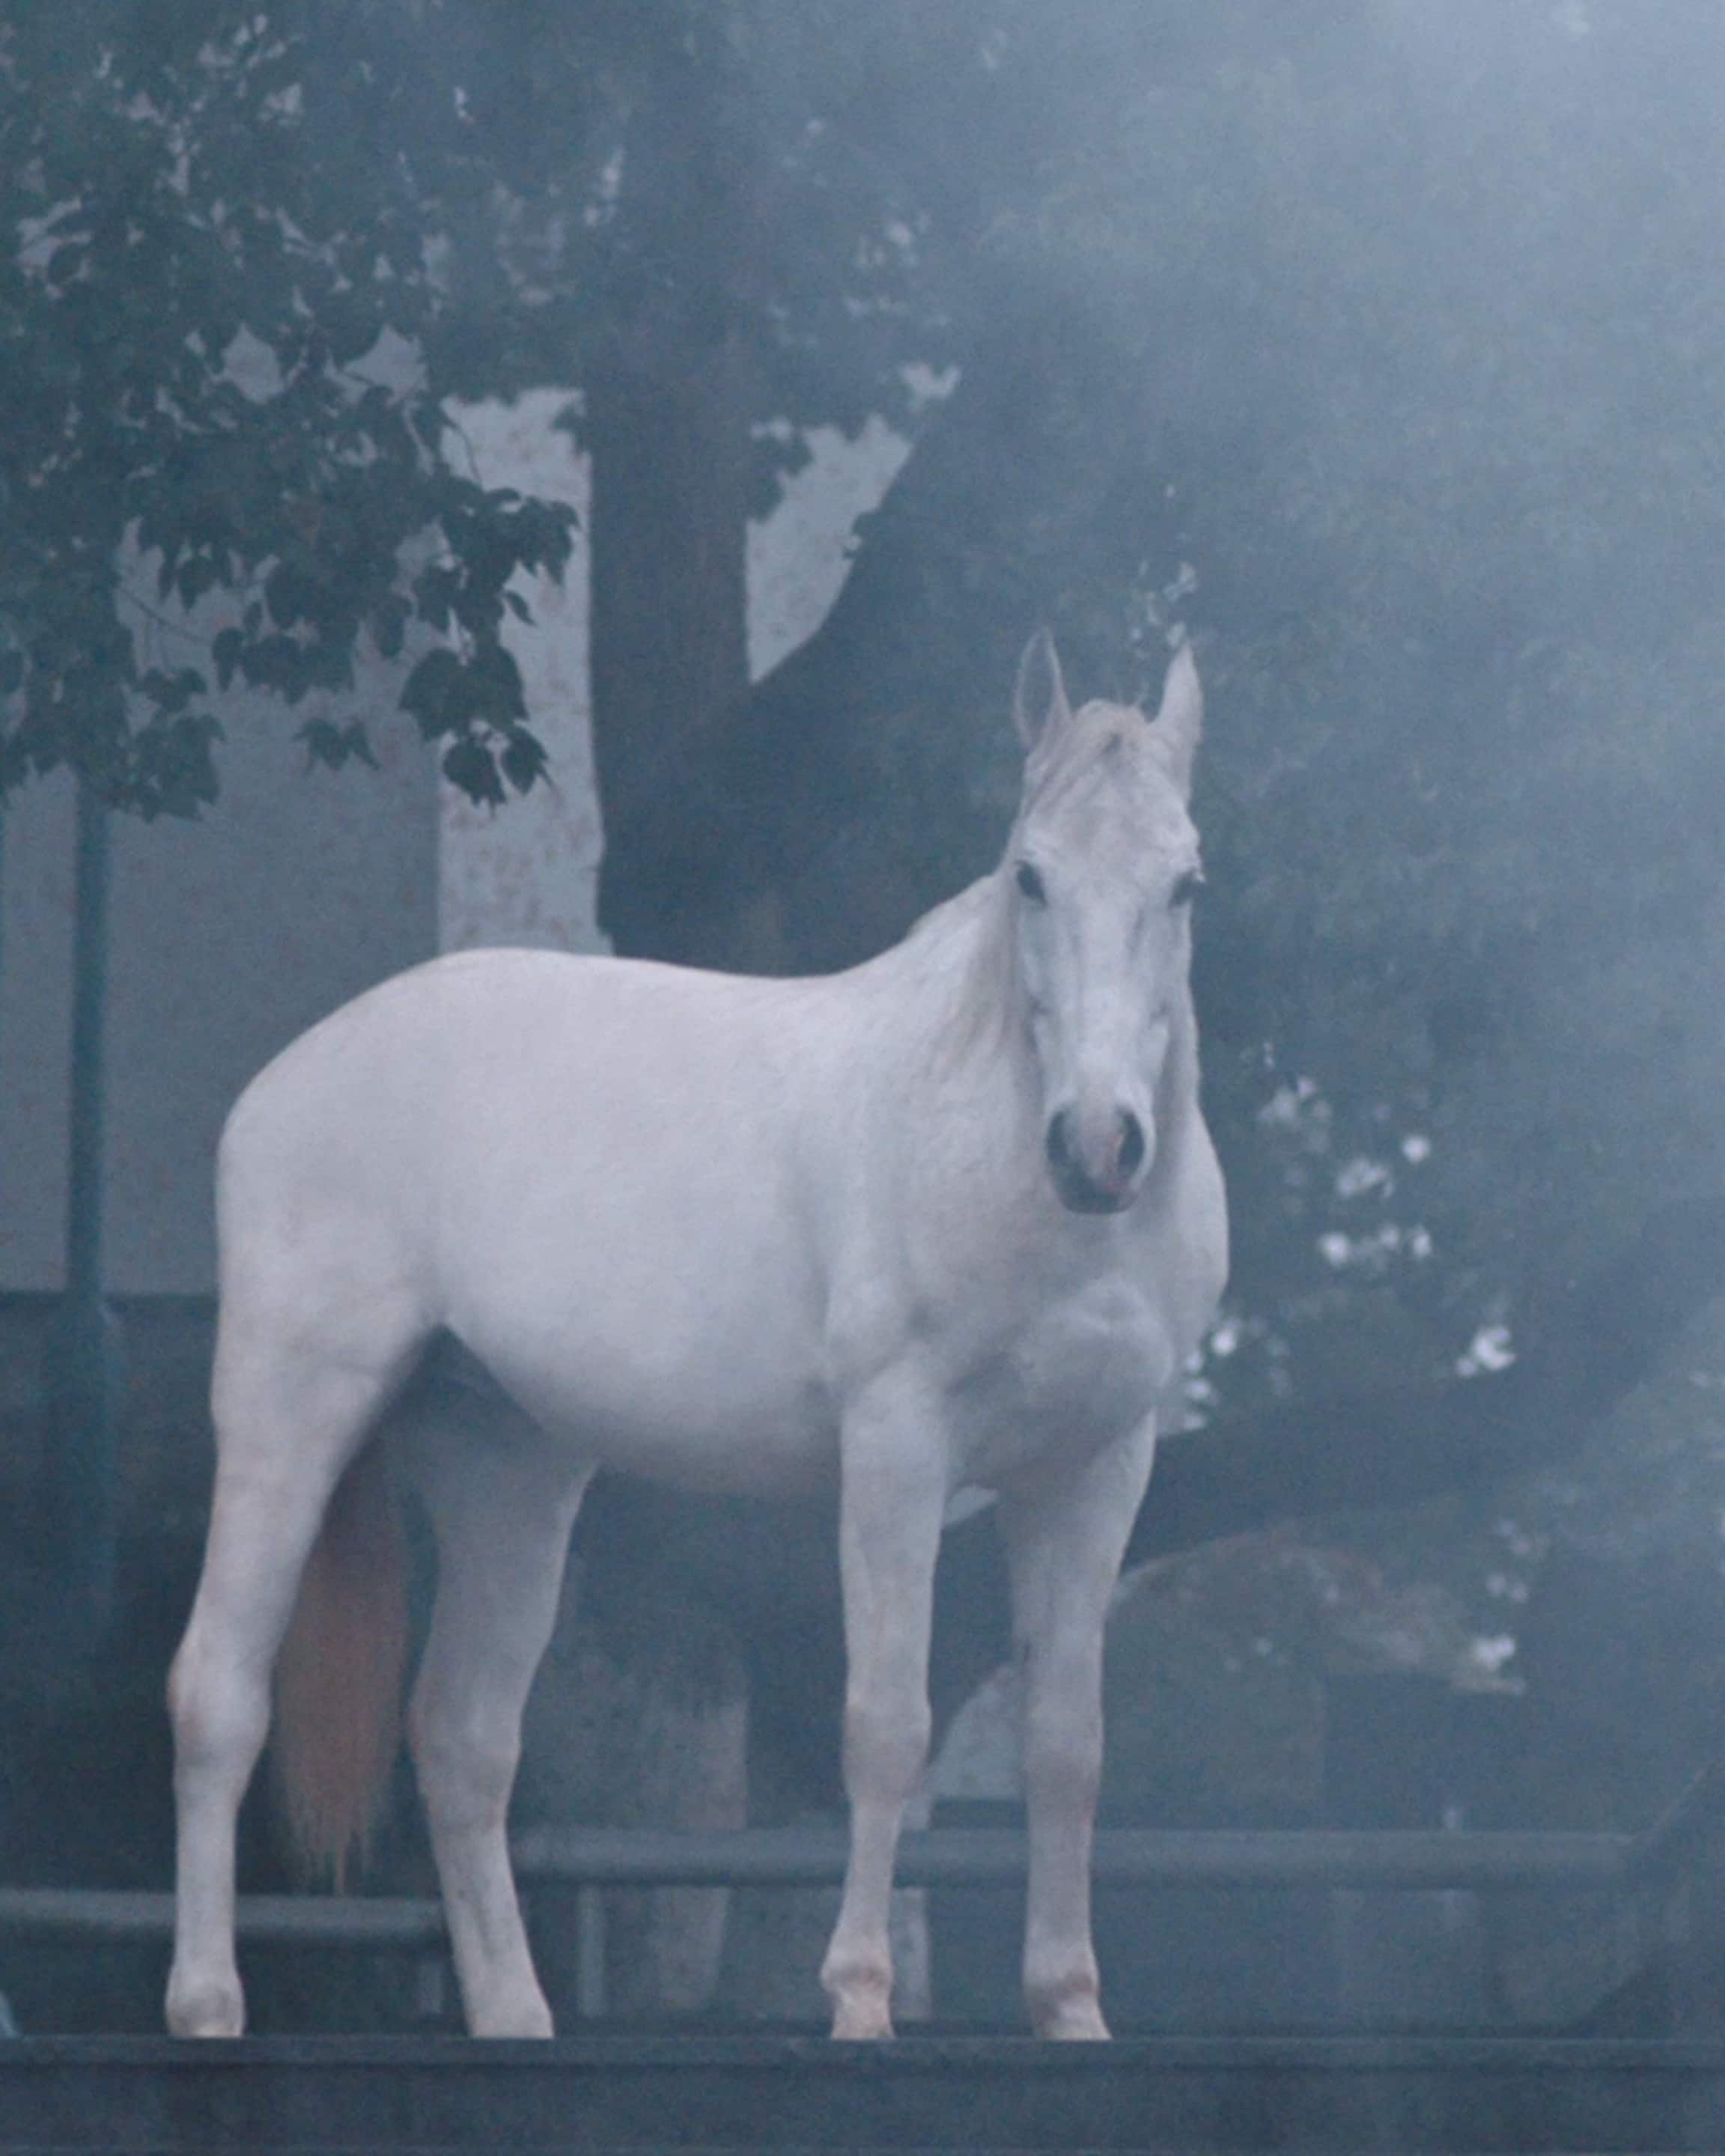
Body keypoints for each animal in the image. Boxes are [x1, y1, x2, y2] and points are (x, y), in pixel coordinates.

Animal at [164, 630, 1227, 2042]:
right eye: (1030, 876)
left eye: (1184, 881)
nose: (1100, 1147)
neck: (989, 1139)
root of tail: (288, 1078)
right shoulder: (897, 1451)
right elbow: (882, 1725)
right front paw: (857, 2000)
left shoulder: (1096, 1469)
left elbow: (1068, 1747)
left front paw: (1070, 2010)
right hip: (292, 1416)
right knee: (219, 1693)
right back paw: (206, 2007)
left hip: (506, 1465)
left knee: (463, 1737)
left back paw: (515, 2016)